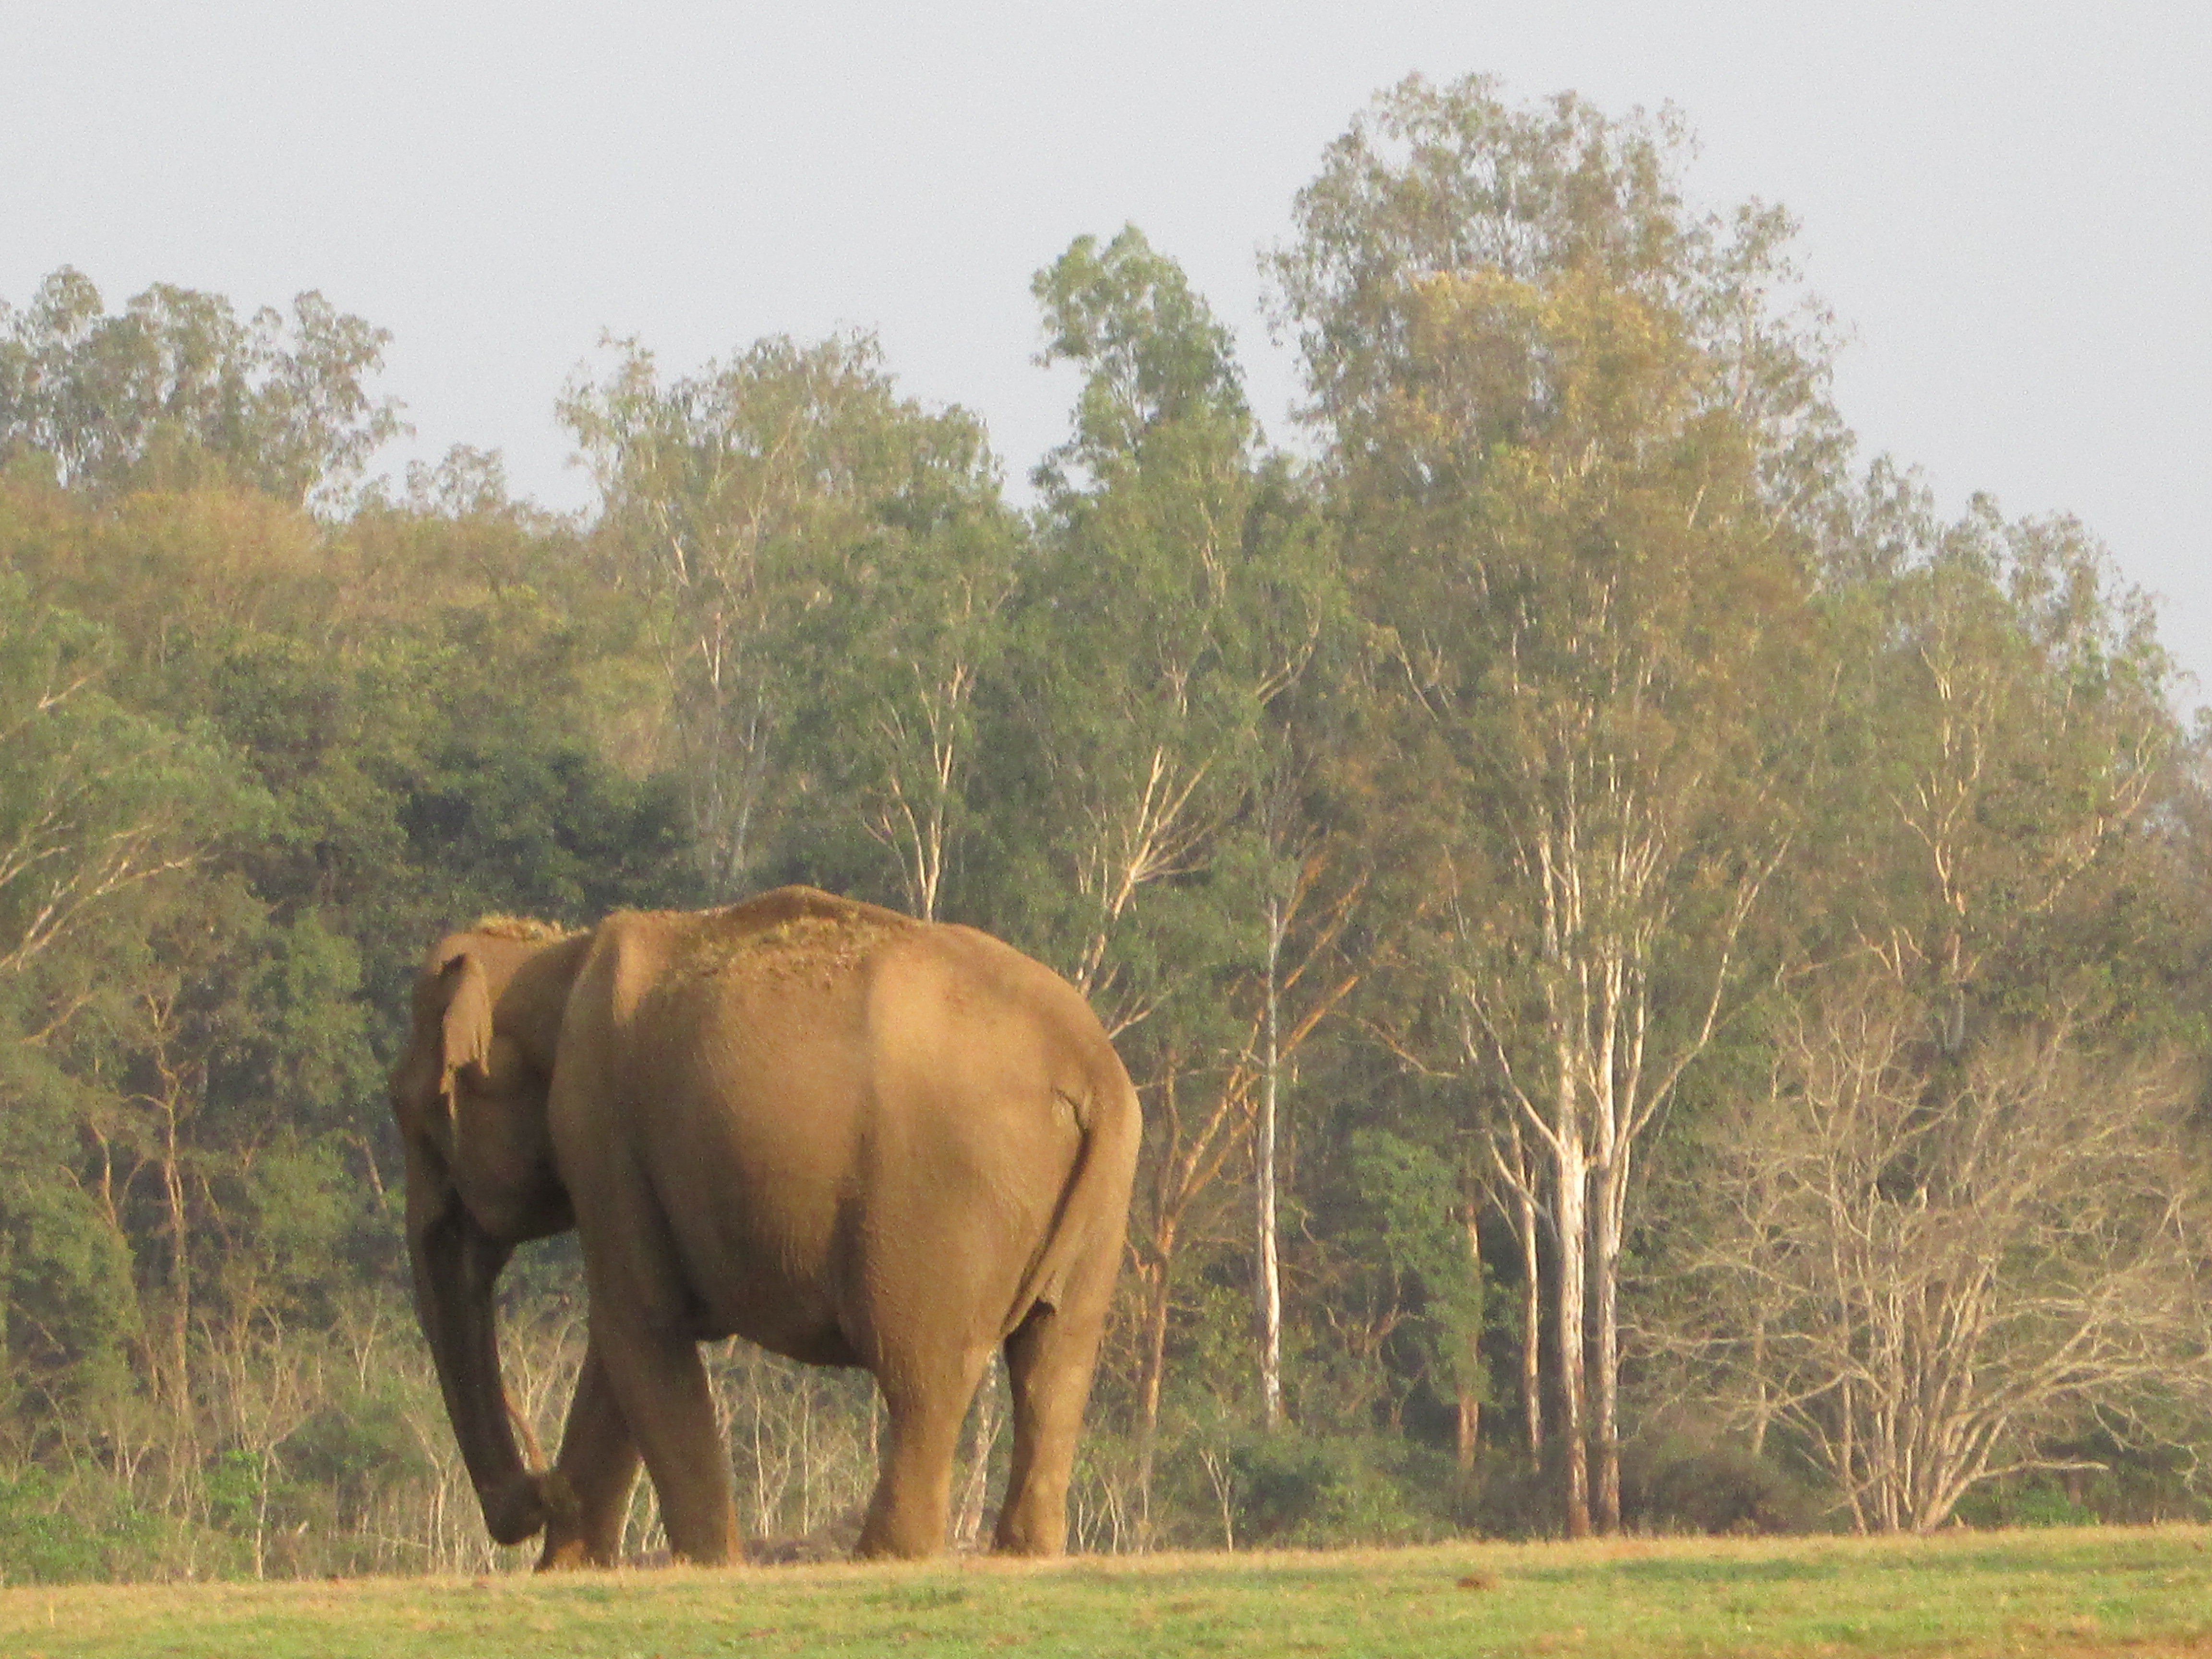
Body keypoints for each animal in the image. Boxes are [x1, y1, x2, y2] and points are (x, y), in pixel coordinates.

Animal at [387, 884, 1140, 1567]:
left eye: (415, 1117)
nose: (544, 1491)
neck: (553, 957)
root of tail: (1091, 1065)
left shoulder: (597, 1128)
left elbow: (638, 1327)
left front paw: (708, 1564)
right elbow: (618, 1349)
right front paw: (571, 1570)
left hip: (946, 1200)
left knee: (926, 1372)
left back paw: (882, 1555)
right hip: (1102, 1200)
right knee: (1056, 1356)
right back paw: (1023, 1552)